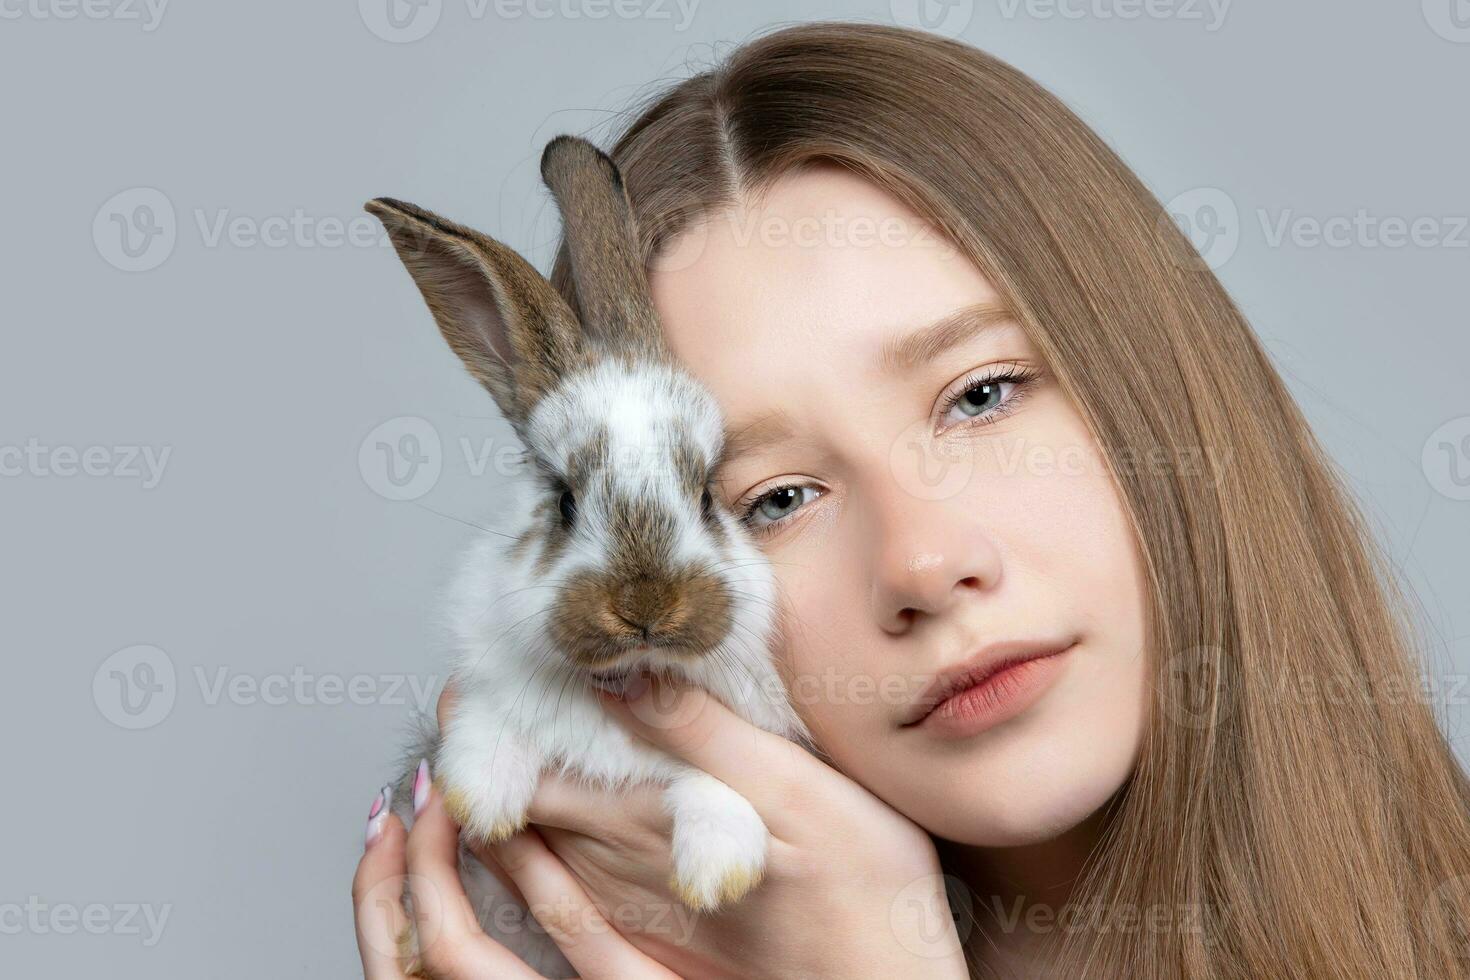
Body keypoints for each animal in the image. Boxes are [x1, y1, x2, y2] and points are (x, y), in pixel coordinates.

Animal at [360, 132, 811, 980]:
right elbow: (491, 712)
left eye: (707, 494)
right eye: (564, 499)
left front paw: (717, 876)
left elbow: (716, 783)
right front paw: (481, 797)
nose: (646, 607)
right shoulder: (490, 674)